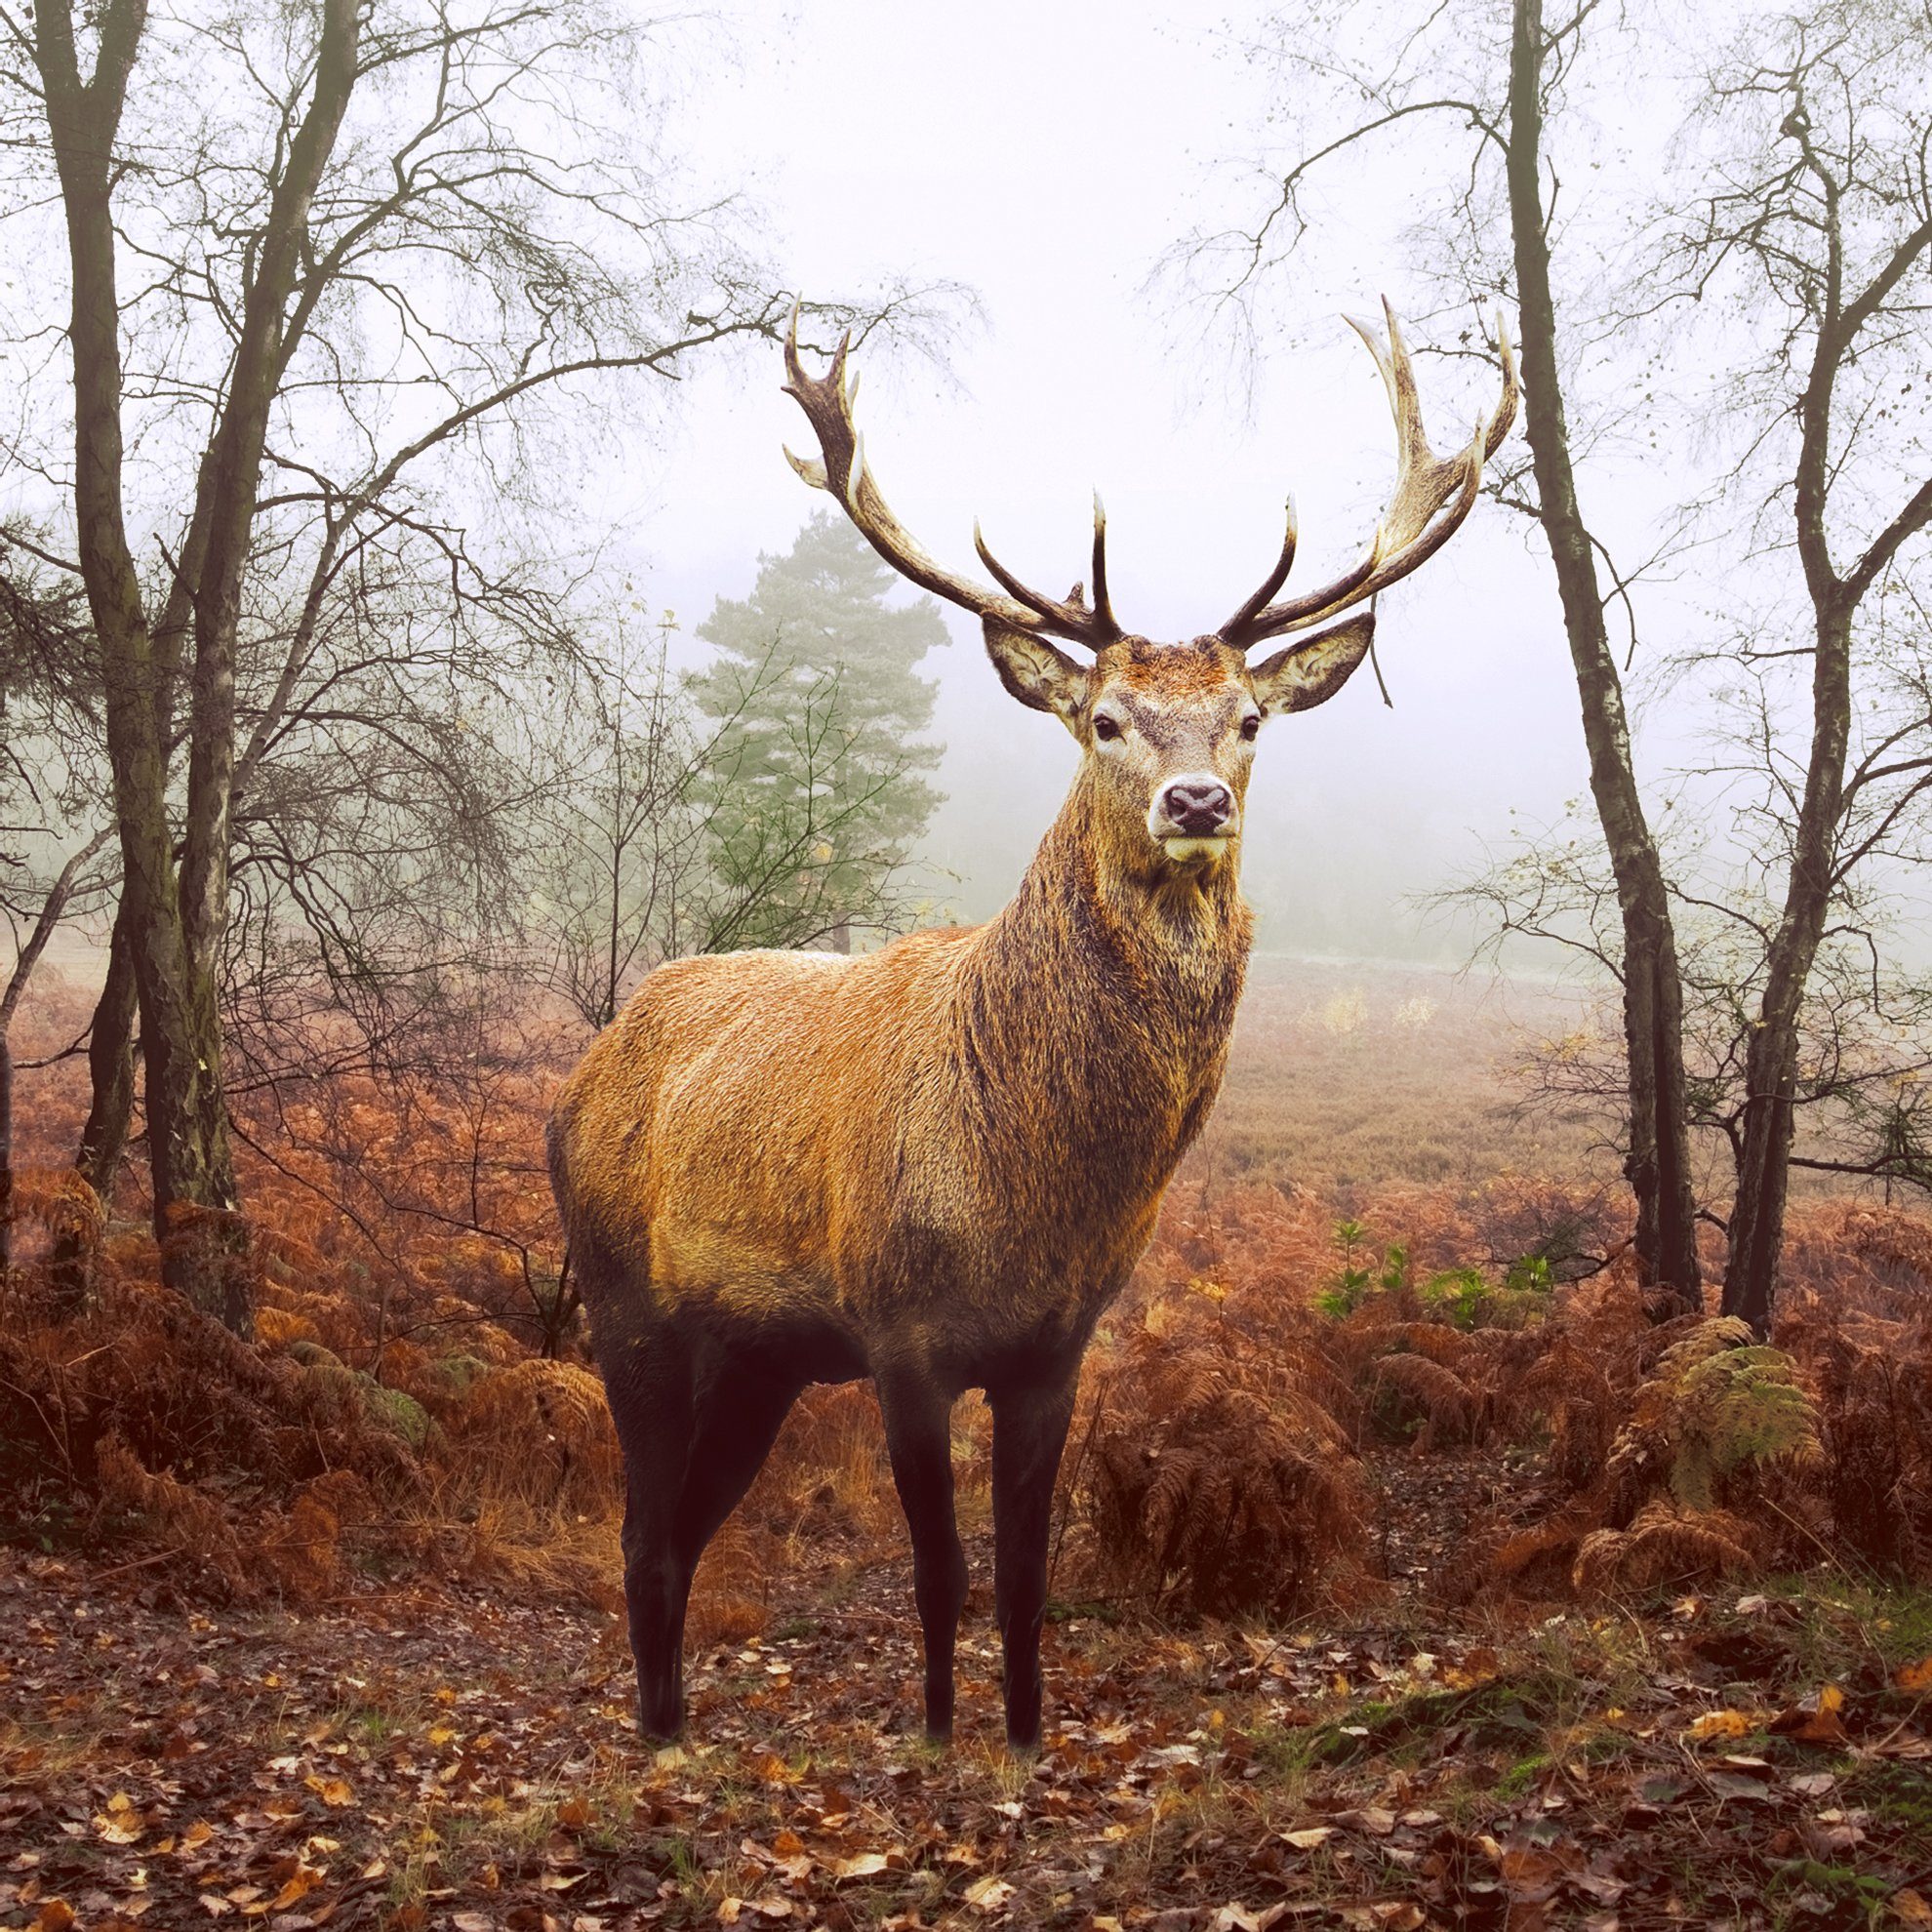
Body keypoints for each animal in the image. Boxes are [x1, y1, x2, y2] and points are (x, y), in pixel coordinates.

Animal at [547, 302, 1517, 1749]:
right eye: (1104, 718)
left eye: (1247, 720)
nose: (1193, 802)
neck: (1030, 1188)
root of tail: (582, 1073)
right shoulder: (899, 1333)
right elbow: (939, 1573)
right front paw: (941, 1738)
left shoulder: (1057, 1347)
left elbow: (1024, 1576)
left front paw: (1020, 1739)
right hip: (627, 1305)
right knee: (640, 1533)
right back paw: (661, 1744)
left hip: (759, 1357)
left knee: (680, 1529)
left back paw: (674, 1729)